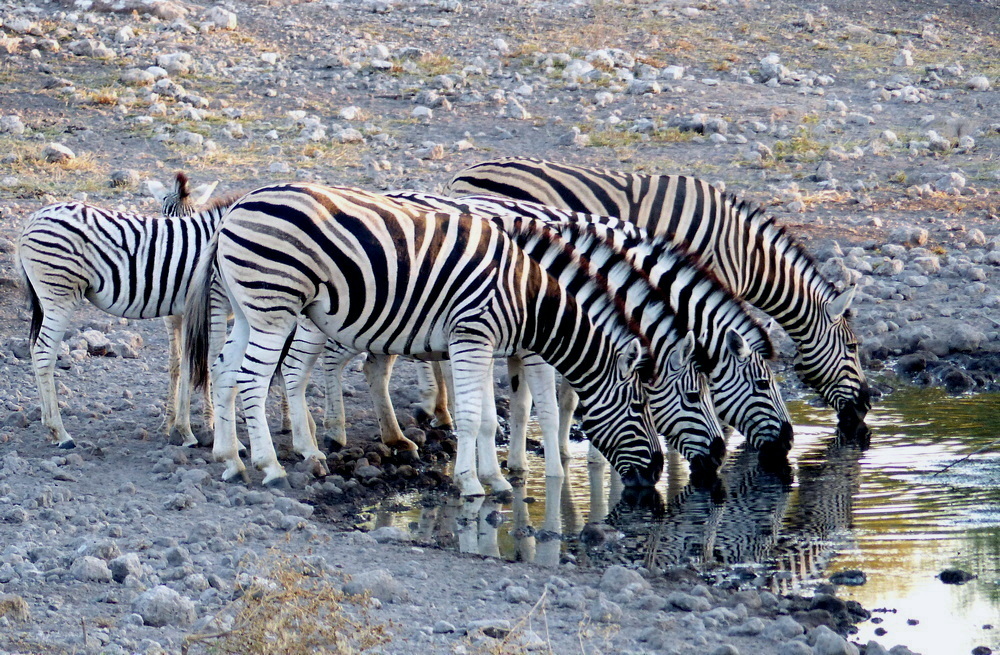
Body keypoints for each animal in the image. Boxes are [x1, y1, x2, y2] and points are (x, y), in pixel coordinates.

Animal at [15, 174, 227, 452]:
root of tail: (32, 219)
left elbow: (188, 363)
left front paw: (192, 426)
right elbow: (203, 364)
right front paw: (197, 428)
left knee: (34, 349)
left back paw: (48, 426)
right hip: (59, 295)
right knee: (43, 352)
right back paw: (60, 432)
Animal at [184, 182, 668, 494]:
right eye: (640, 406)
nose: (658, 471)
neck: (527, 295)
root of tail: (235, 208)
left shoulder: (482, 342)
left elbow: (489, 417)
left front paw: (495, 478)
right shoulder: (473, 335)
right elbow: (476, 416)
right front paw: (471, 483)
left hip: (250, 309)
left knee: (225, 371)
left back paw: (231, 459)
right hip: (274, 306)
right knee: (251, 380)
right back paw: (269, 466)